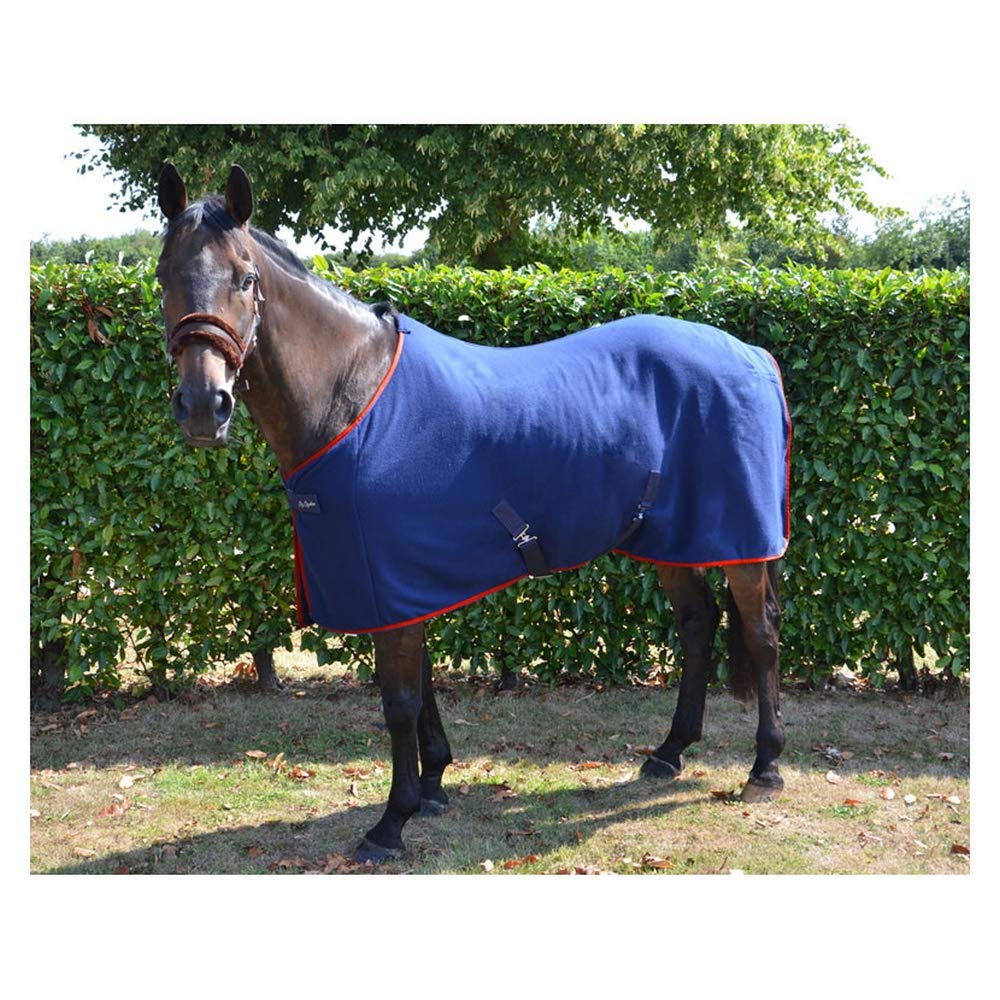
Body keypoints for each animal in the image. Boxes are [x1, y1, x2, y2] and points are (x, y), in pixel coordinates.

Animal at [155, 163, 790, 863]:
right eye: (162, 276)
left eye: (245, 278)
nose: (203, 406)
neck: (353, 397)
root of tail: (755, 356)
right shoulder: (401, 585)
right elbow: (424, 684)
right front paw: (433, 785)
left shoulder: (387, 580)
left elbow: (399, 699)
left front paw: (391, 822)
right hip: (672, 539)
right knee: (697, 625)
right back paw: (670, 752)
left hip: (742, 544)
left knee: (760, 635)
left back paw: (765, 768)